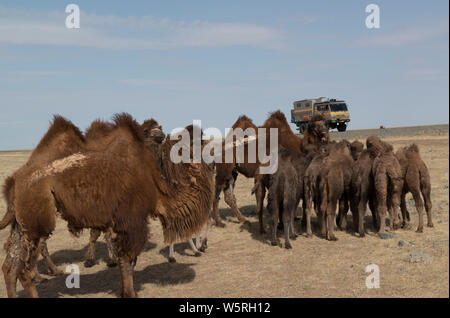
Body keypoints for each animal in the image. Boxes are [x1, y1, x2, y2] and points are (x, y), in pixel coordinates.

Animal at [2, 114, 214, 298]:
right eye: (193, 141)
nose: (211, 159)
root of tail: (13, 182)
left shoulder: (121, 224)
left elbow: (124, 259)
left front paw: (122, 290)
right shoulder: (132, 221)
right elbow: (128, 261)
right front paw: (130, 293)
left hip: (22, 226)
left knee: (10, 267)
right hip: (37, 224)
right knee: (25, 270)